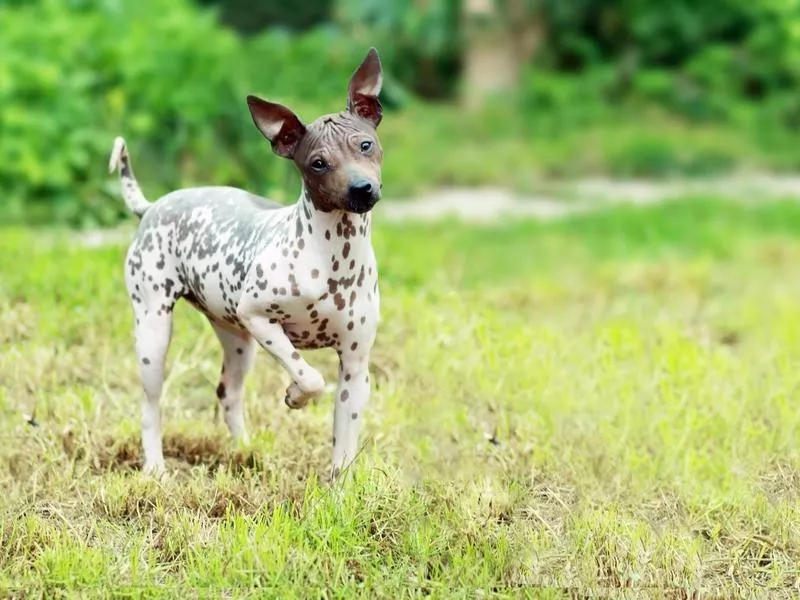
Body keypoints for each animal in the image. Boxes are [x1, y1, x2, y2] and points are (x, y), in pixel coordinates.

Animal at [110, 48, 388, 478]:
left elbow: (343, 449)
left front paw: (338, 490)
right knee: (150, 405)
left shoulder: (356, 370)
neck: (333, 259)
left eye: (365, 144)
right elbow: (310, 377)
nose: (362, 189)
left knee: (228, 393)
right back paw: (156, 468)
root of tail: (153, 205)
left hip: (237, 341)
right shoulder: (259, 318)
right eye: (318, 163)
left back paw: (247, 451)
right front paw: (294, 394)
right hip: (154, 332)